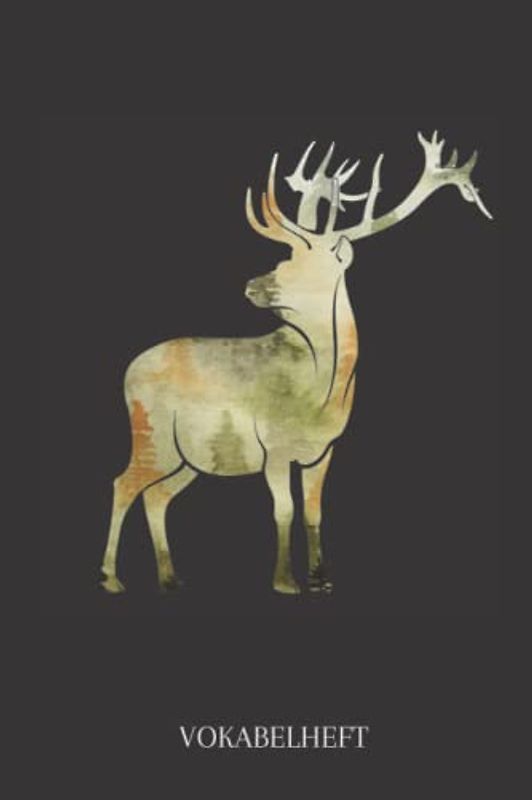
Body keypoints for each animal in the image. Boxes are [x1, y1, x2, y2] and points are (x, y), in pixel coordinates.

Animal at [100, 130, 492, 597]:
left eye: (301, 264)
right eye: (285, 258)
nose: (251, 285)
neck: (318, 396)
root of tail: (128, 370)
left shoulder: (324, 449)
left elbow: (313, 510)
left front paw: (322, 580)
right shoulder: (273, 444)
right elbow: (283, 509)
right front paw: (286, 581)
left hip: (187, 457)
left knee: (157, 495)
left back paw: (169, 577)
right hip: (152, 433)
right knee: (124, 483)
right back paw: (111, 578)